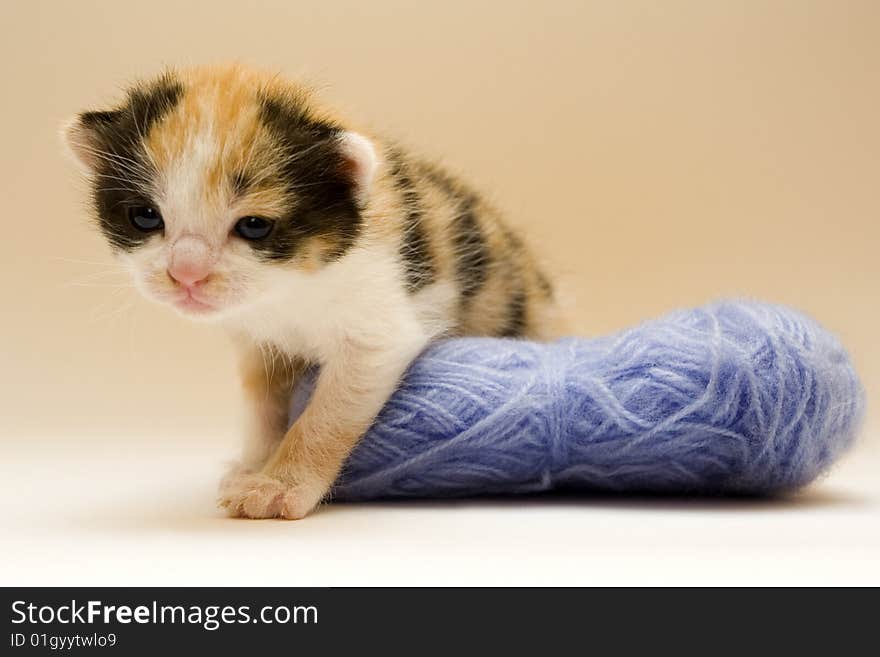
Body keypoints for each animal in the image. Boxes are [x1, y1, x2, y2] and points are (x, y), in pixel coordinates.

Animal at [63, 65, 556, 516]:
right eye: (145, 217)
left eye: (254, 226)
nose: (186, 274)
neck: (292, 286)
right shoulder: (257, 342)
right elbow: (262, 403)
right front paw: (252, 467)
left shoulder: (378, 322)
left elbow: (326, 415)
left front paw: (276, 487)